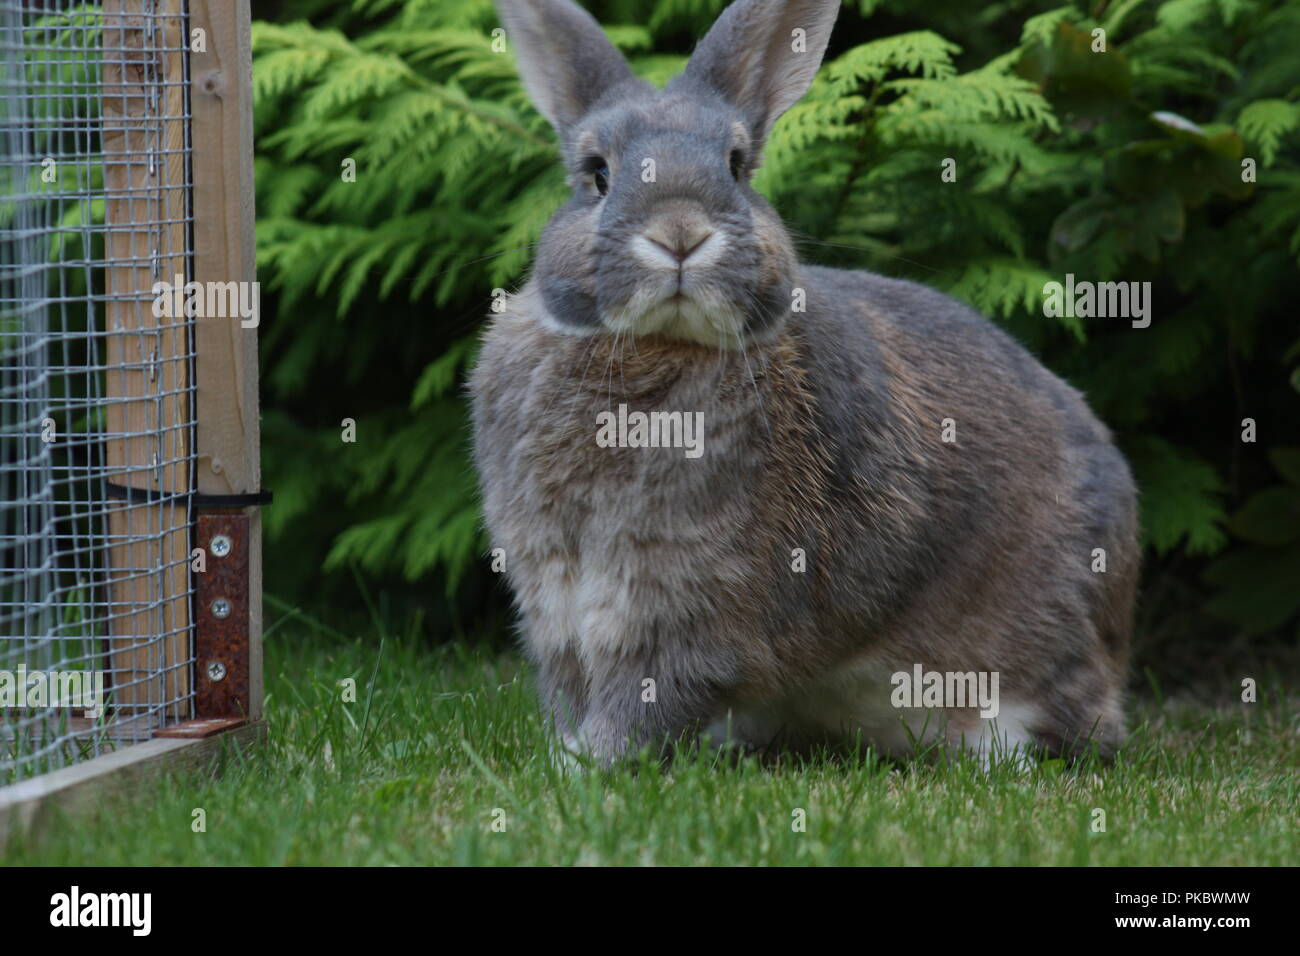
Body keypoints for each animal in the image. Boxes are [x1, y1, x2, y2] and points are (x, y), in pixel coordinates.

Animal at [467, 0, 1138, 764]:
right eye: (596, 174)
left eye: (736, 166)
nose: (679, 233)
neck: (658, 346)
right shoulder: (561, 604)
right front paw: (569, 758)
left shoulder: (691, 604)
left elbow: (649, 698)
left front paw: (588, 764)